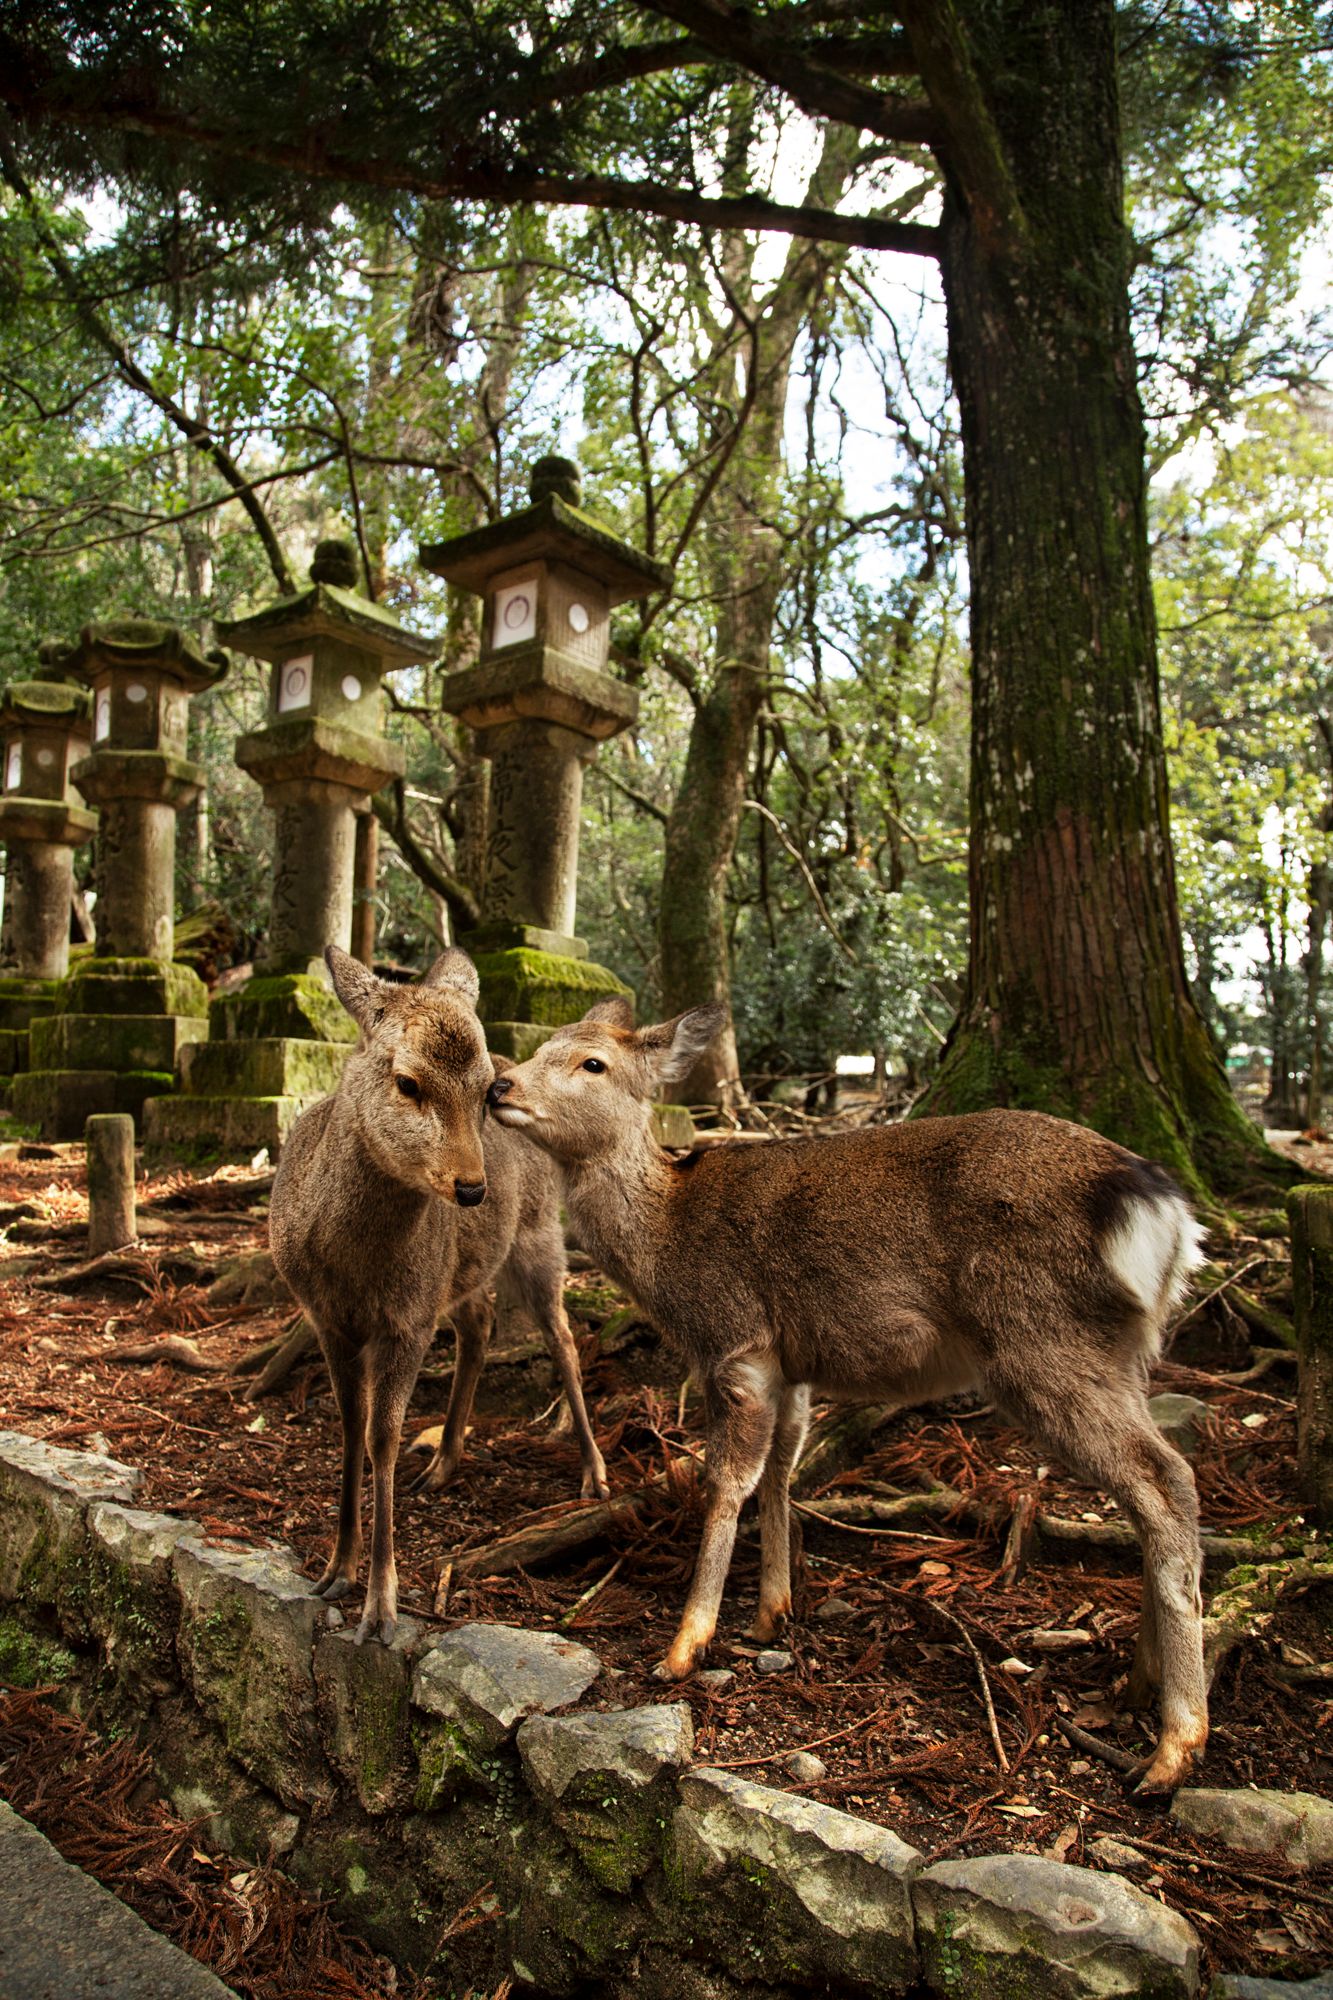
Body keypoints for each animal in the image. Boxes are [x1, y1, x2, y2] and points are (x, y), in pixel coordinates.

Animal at [269, 945, 609, 1645]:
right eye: (407, 1082)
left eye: (484, 1089)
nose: (473, 1187)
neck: (355, 1266)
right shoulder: (325, 1317)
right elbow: (350, 1427)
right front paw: (335, 1570)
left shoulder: (408, 1318)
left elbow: (383, 1436)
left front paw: (380, 1606)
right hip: (462, 1274)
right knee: (479, 1325)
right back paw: (445, 1460)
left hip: (538, 1236)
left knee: (563, 1336)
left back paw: (594, 1471)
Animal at [486, 997, 1211, 1794]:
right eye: (543, 1046)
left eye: (593, 1062)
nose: (498, 1085)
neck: (666, 1246)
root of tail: (1167, 1214)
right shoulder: (791, 1364)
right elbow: (781, 1471)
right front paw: (770, 1614)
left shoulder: (735, 1341)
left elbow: (727, 1482)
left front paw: (684, 1646)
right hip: (1123, 1353)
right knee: (1155, 1486)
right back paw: (1138, 1685)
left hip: (1041, 1338)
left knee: (1165, 1479)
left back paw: (1174, 1747)